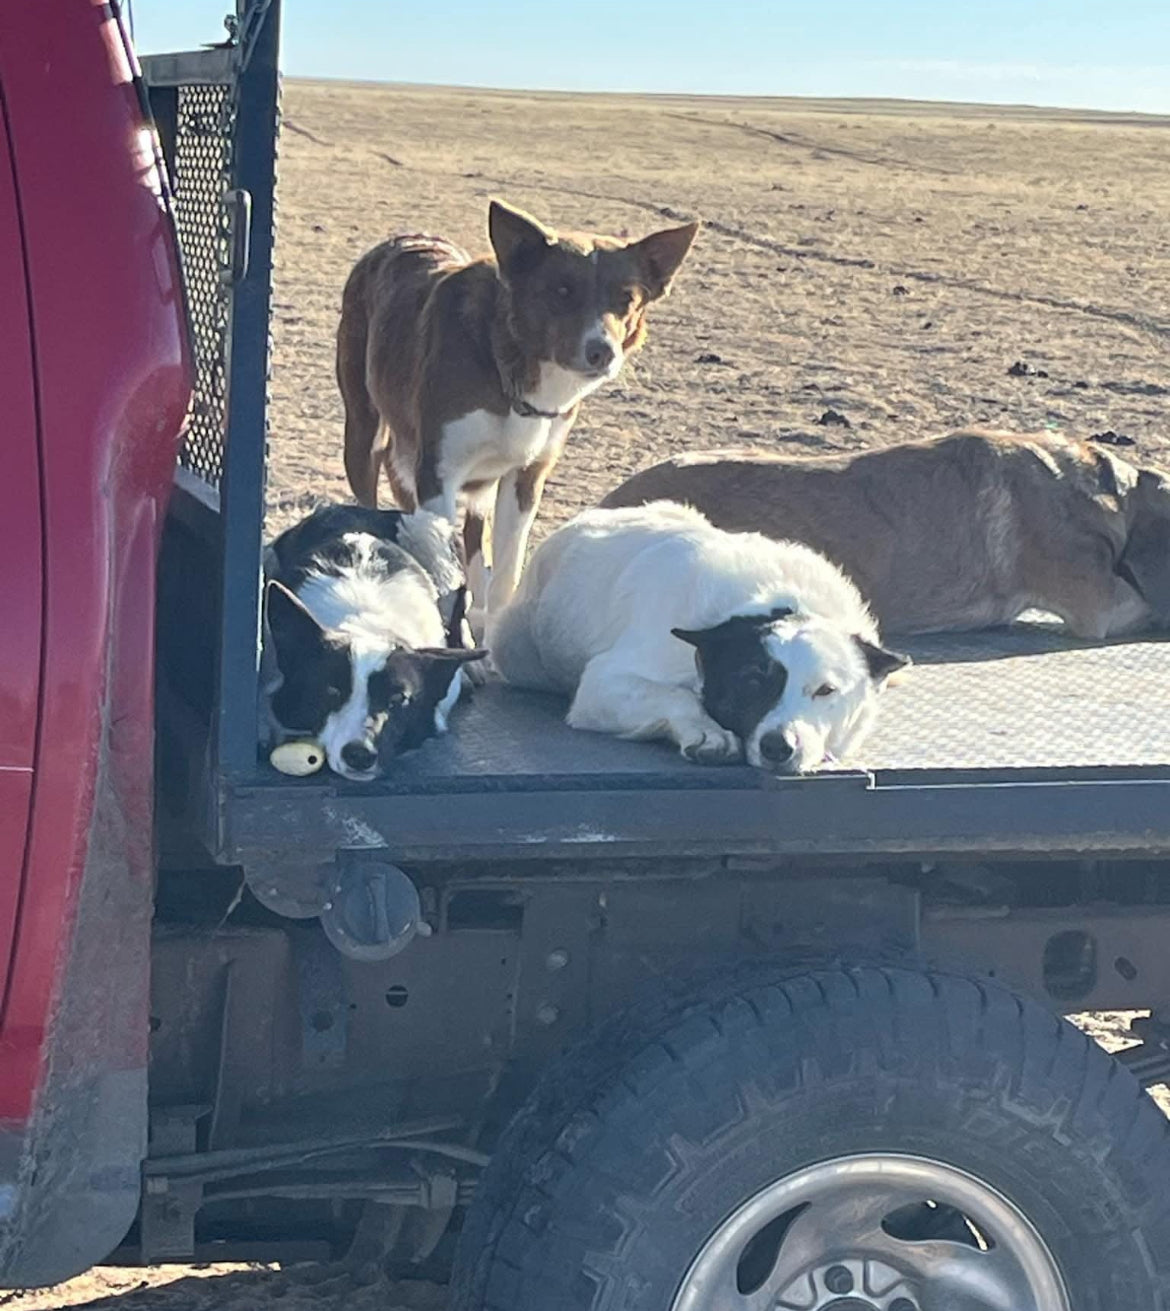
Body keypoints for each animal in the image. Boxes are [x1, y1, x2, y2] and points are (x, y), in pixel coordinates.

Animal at [335, 201, 692, 626]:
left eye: (626, 299)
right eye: (562, 291)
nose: (602, 352)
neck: (506, 363)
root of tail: (394, 241)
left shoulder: (526, 476)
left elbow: (506, 571)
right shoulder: (439, 473)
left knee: (473, 536)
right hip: (363, 431)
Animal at [487, 498, 907, 765]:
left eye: (825, 691)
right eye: (752, 682)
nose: (778, 747)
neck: (780, 599)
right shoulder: (603, 683)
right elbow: (678, 696)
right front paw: (707, 733)